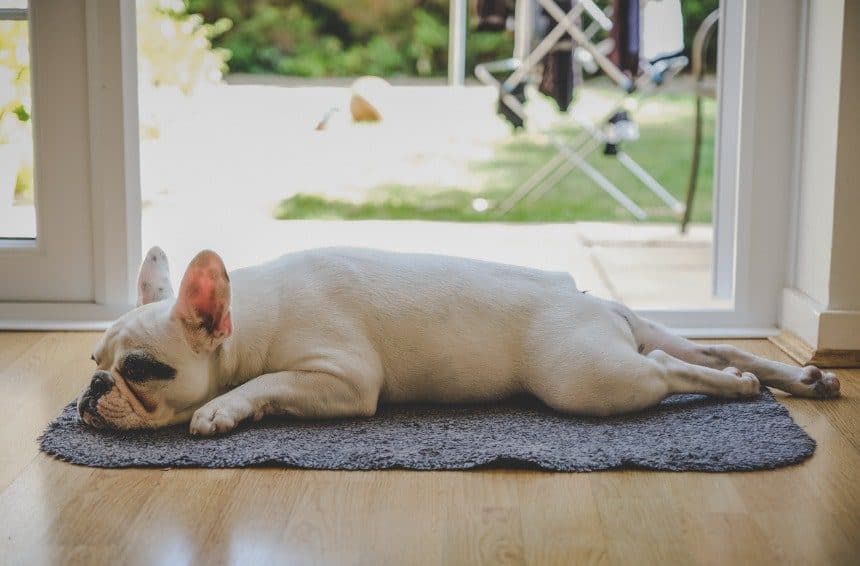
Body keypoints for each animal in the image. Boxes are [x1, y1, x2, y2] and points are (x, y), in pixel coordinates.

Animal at [77, 246, 844, 438]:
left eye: (141, 368)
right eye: (95, 363)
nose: (91, 390)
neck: (249, 320)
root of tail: (589, 302)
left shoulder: (344, 379)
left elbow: (263, 384)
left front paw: (224, 408)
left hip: (589, 379)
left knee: (670, 369)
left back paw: (741, 389)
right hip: (628, 339)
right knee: (710, 350)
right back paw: (799, 379)